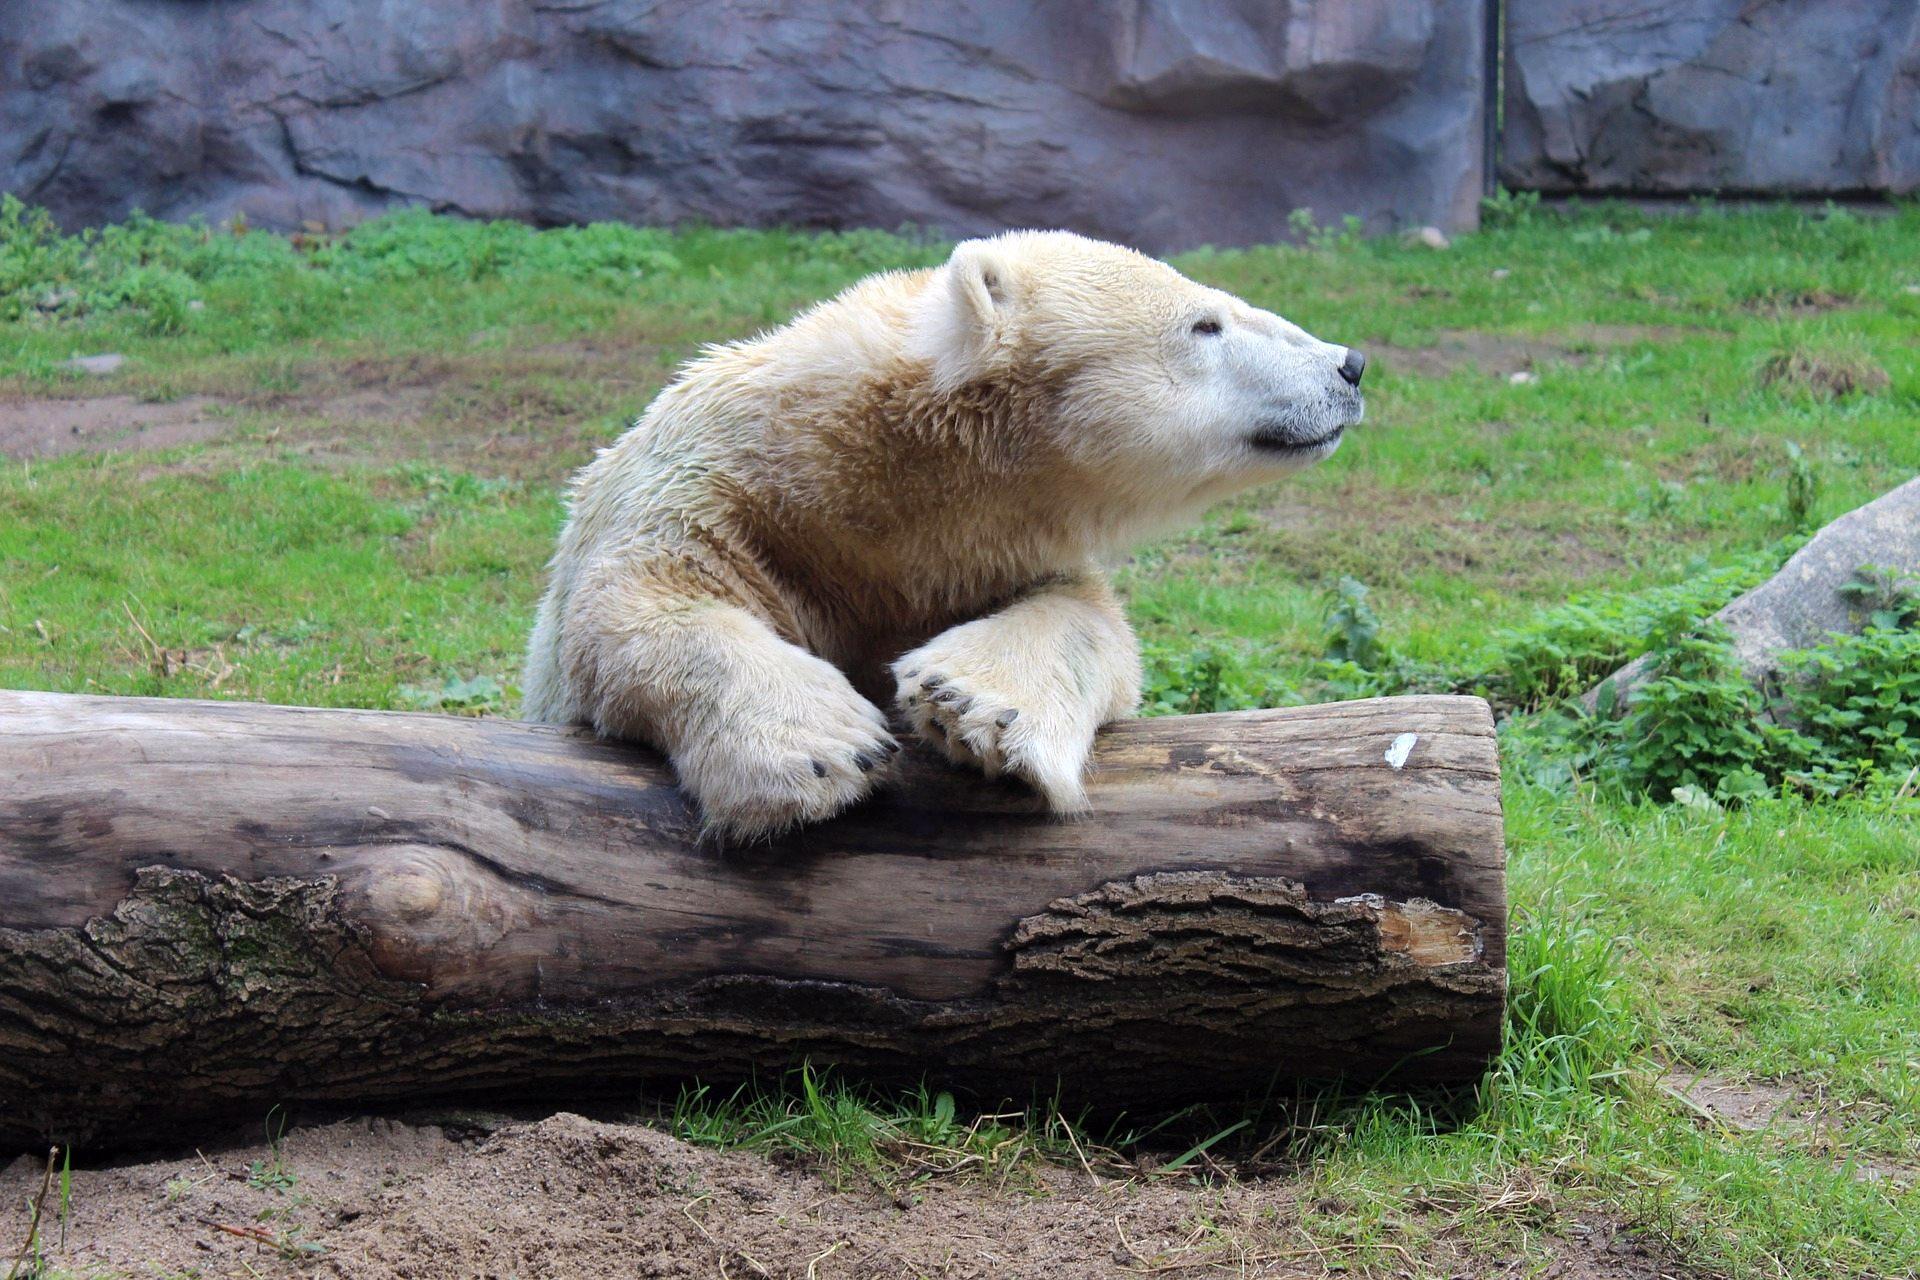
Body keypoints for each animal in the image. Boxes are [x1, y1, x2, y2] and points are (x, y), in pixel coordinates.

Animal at [522, 229, 1365, 839]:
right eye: (1206, 322)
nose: (1350, 365)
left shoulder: (981, 556)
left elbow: (1094, 625)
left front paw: (974, 705)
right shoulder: (711, 492)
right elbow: (640, 602)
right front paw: (823, 749)